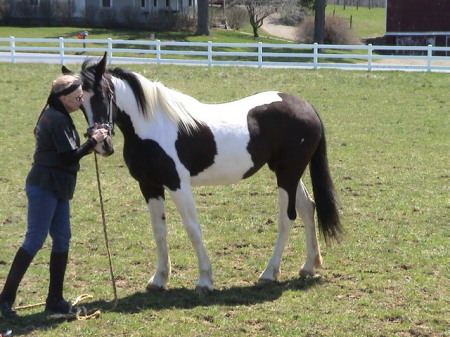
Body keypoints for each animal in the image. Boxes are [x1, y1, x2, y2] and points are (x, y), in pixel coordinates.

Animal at [63, 52, 342, 294]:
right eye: (80, 103)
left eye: (103, 95)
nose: (101, 143)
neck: (152, 126)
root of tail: (306, 107)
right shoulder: (150, 186)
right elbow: (159, 230)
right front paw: (159, 279)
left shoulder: (178, 185)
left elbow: (192, 229)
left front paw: (205, 281)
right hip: (289, 173)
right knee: (307, 208)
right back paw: (308, 266)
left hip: (287, 174)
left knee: (287, 218)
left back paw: (268, 273)